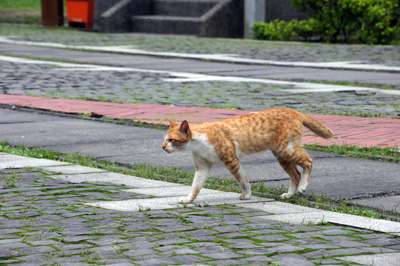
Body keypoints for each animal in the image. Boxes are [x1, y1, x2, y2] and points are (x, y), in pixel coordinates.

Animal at [161, 108, 332, 204]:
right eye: (164, 139)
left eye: (171, 140)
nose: (162, 147)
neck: (198, 142)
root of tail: (295, 111)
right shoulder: (202, 167)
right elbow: (196, 186)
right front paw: (188, 199)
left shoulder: (231, 160)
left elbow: (242, 180)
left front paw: (247, 195)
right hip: (281, 155)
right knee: (295, 174)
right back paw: (290, 194)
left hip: (287, 150)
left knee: (308, 162)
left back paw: (302, 187)